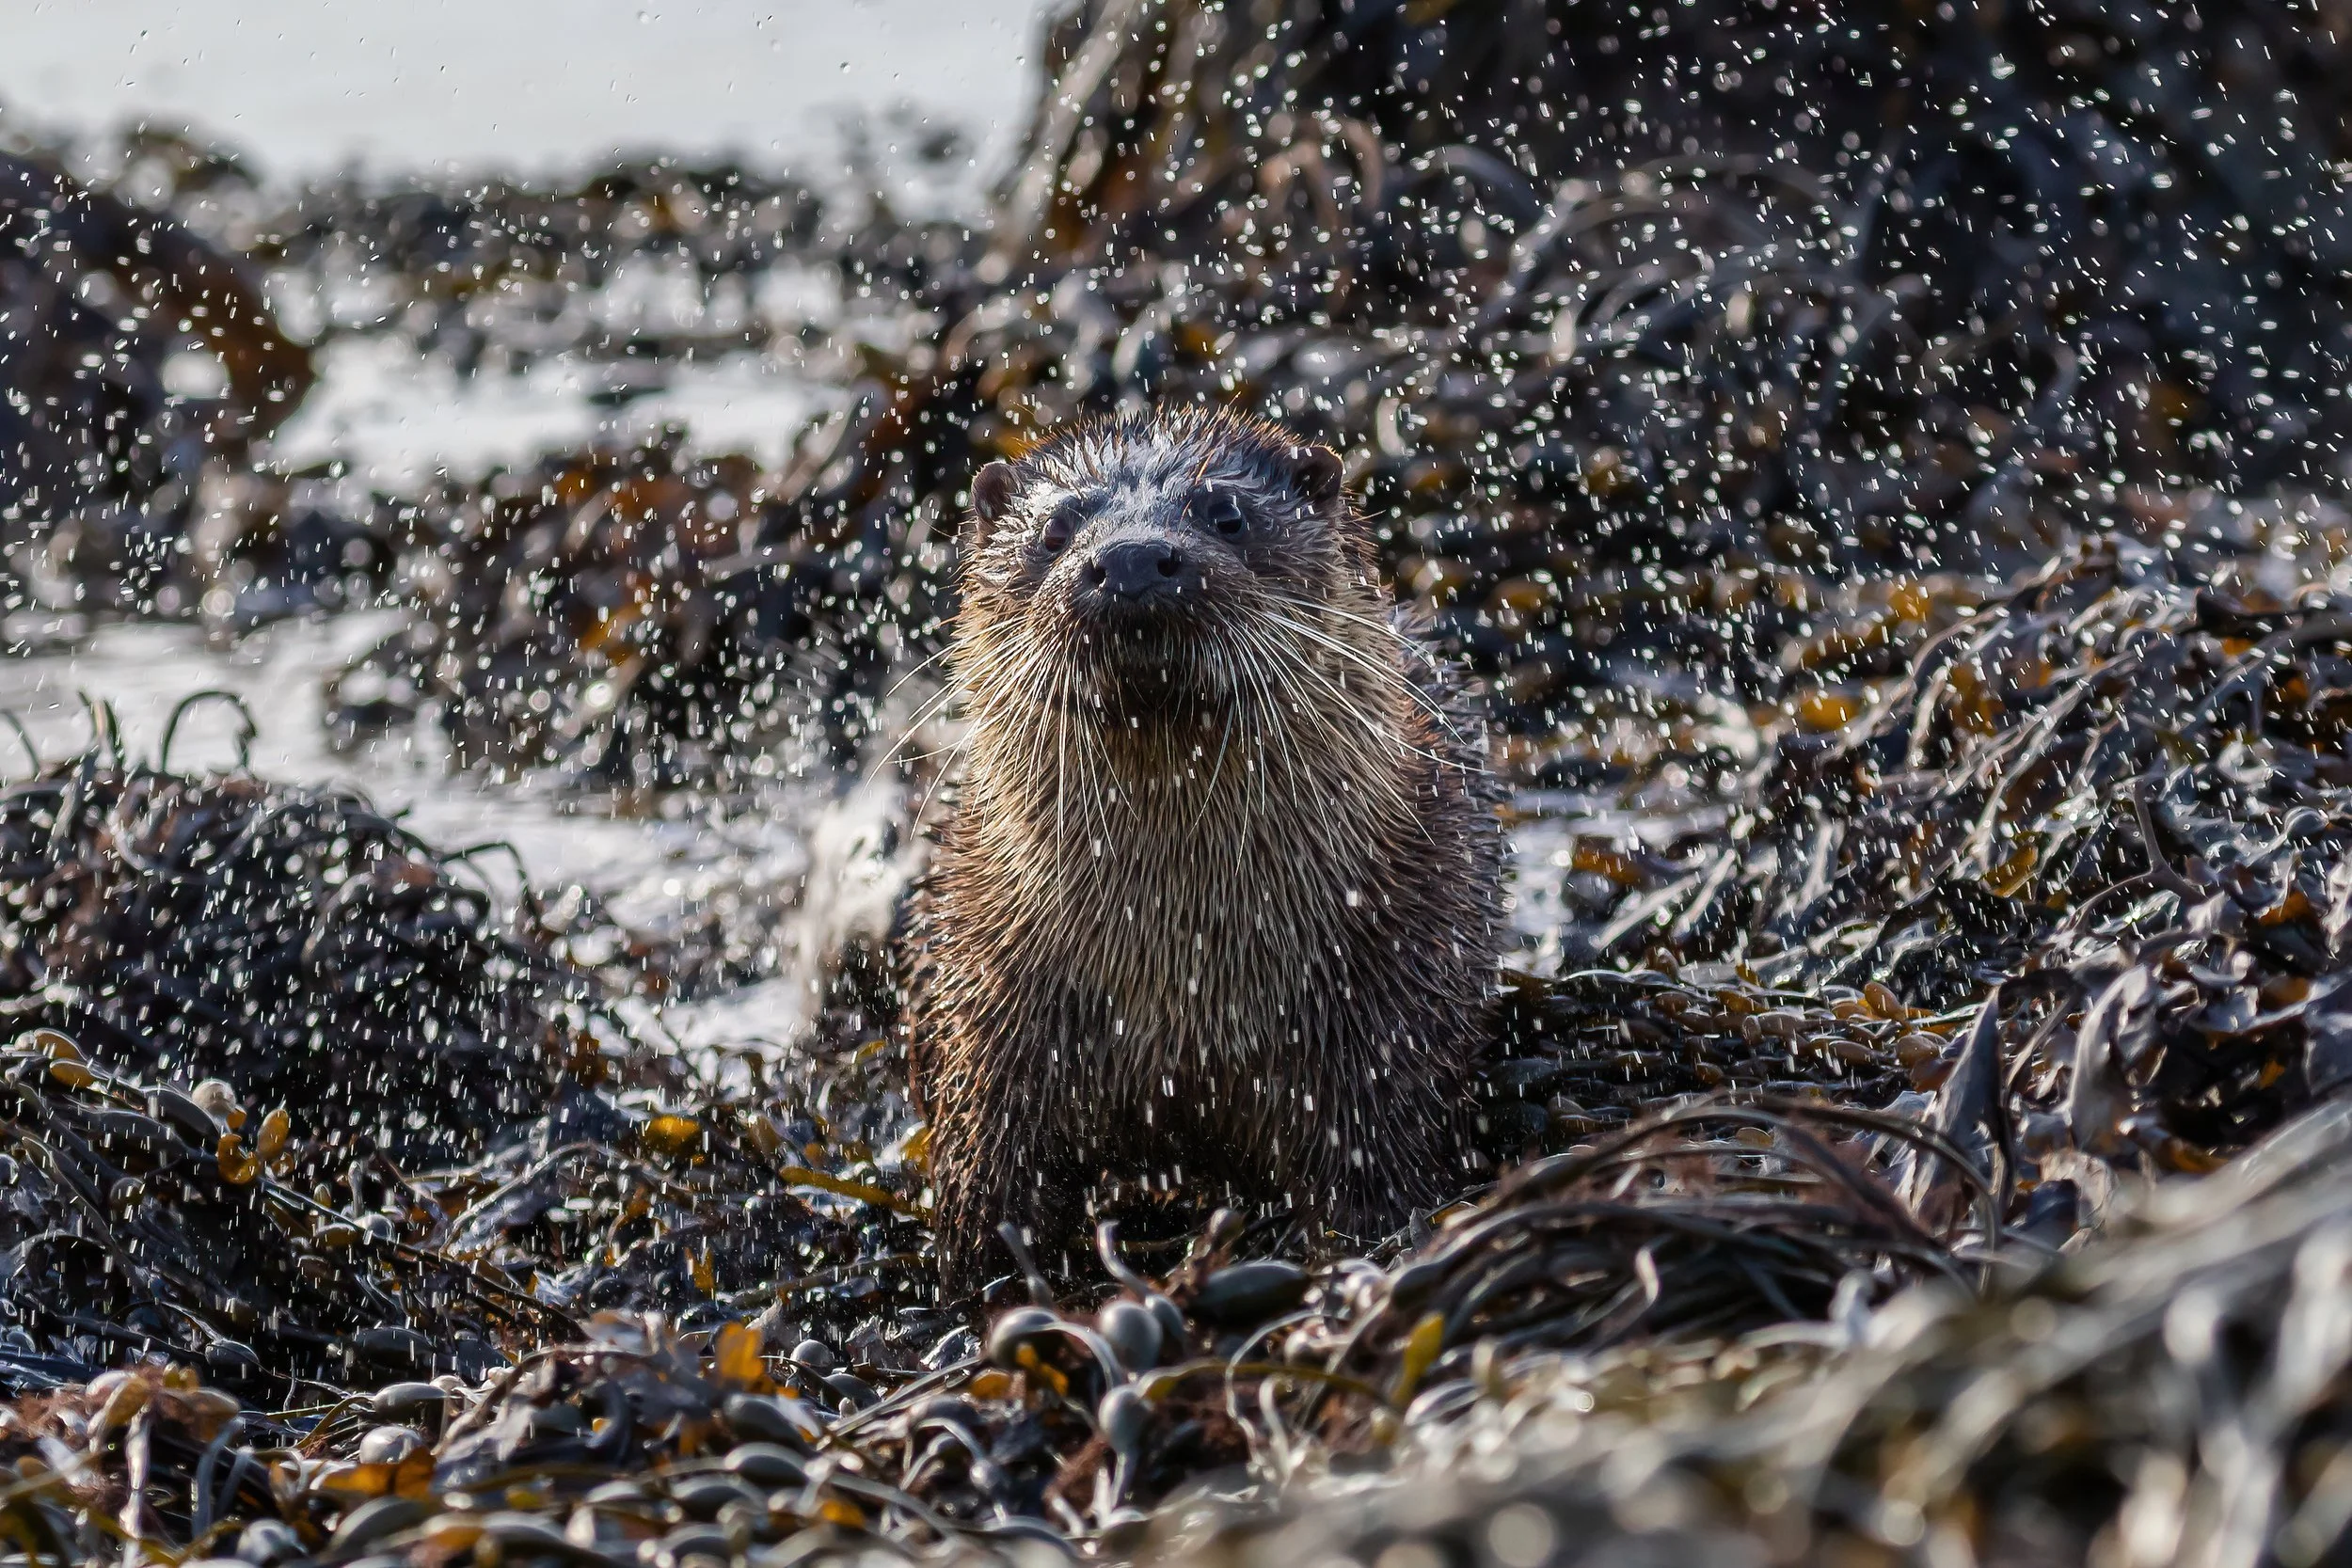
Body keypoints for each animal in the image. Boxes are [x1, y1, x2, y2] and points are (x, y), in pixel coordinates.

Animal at [908, 409, 1504, 1295]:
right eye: (1054, 531)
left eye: (1226, 514)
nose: (1128, 559)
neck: (1185, 978)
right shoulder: (990, 1012)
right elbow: (988, 1186)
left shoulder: (1390, 1001)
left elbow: (1377, 1169)